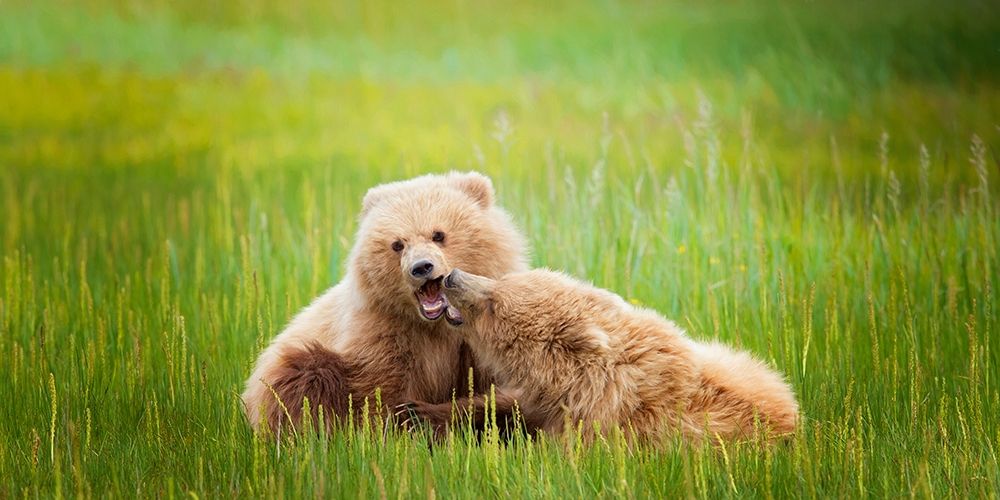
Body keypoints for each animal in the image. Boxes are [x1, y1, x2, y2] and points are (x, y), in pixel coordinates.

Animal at [241, 172, 529, 434]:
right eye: (398, 244)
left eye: (438, 234)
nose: (421, 267)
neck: (437, 327)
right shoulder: (384, 333)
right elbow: (381, 392)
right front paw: (400, 426)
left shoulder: (475, 342)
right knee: (304, 378)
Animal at [422, 267, 799, 444]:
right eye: (503, 280)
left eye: (494, 303)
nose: (452, 276)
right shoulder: (541, 401)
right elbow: (503, 407)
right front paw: (420, 413)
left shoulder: (598, 427)